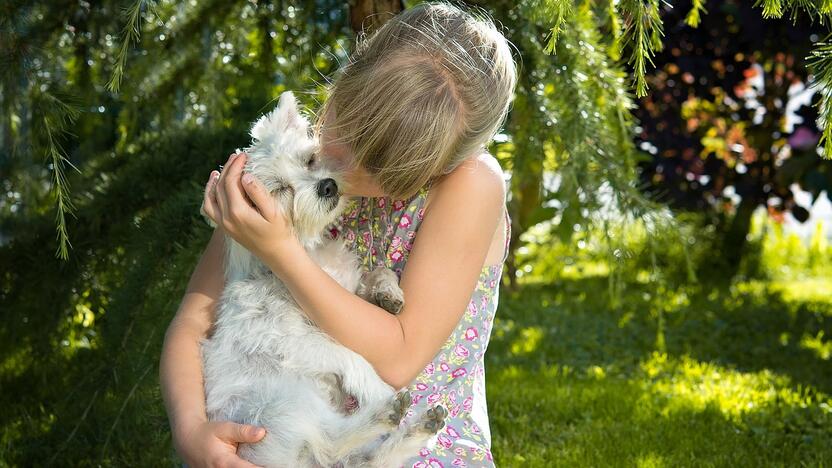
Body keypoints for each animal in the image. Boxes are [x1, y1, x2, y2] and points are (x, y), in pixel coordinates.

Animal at [201, 92, 446, 468]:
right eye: (281, 190)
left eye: (310, 159)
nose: (327, 185)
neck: (309, 256)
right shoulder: (292, 341)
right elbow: (350, 355)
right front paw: (377, 388)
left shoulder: (345, 289)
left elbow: (377, 272)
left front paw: (388, 293)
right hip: (282, 406)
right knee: (332, 441)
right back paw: (387, 410)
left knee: (365, 459)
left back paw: (418, 429)